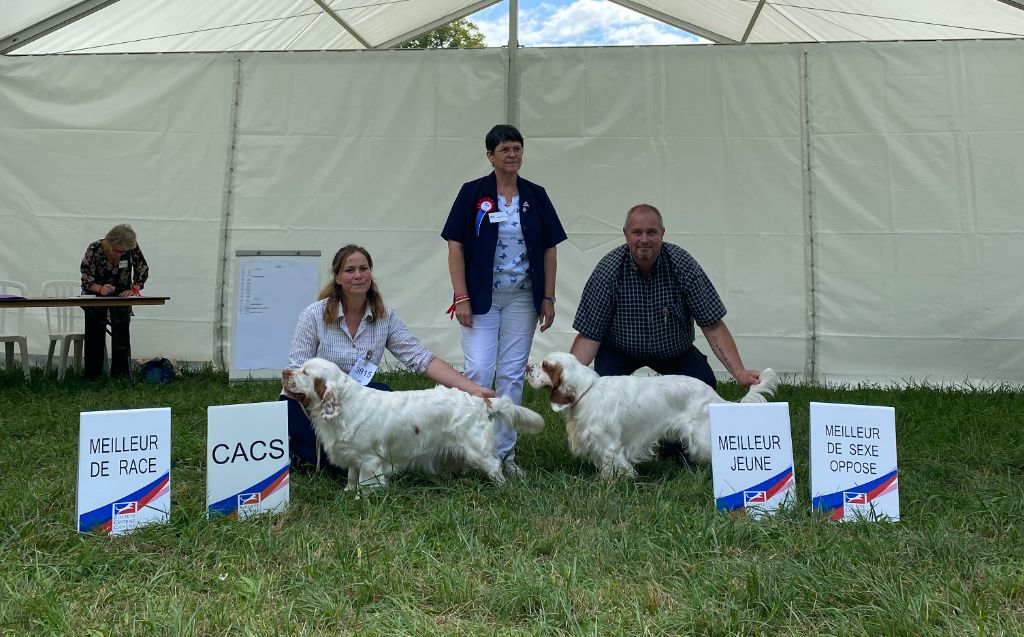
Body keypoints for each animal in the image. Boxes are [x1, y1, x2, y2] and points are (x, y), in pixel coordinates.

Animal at [282, 360, 544, 489]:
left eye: (305, 372)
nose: (284, 372)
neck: (345, 406)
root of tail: (481, 401)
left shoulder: (369, 459)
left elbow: (367, 484)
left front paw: (363, 500)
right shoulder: (354, 458)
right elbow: (351, 479)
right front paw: (349, 494)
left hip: (477, 450)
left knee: (494, 466)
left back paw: (502, 489)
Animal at [524, 352, 778, 481]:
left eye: (545, 365)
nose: (527, 367)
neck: (587, 390)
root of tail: (714, 397)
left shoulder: (609, 445)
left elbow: (615, 468)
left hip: (700, 439)